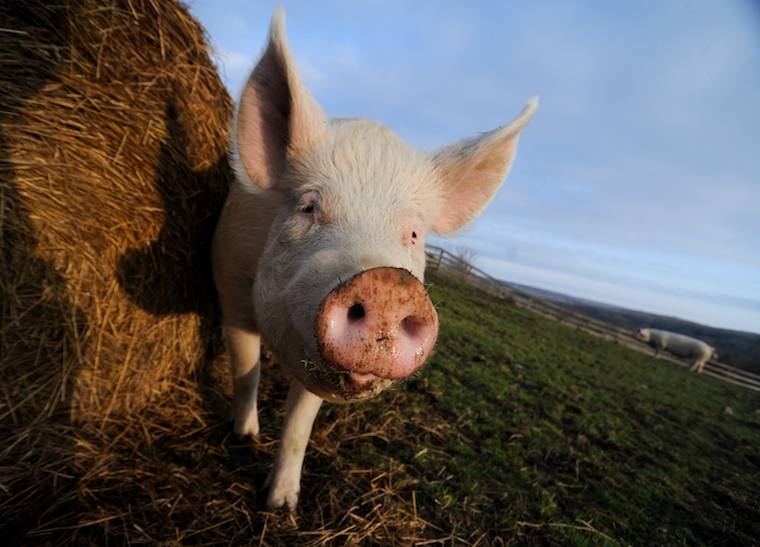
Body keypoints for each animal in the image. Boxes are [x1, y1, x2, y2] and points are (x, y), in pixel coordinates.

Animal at [212, 11, 537, 511]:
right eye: (308, 207)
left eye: (415, 234)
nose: (387, 285)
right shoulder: (231, 286)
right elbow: (246, 371)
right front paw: (245, 437)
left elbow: (300, 424)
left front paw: (281, 506)